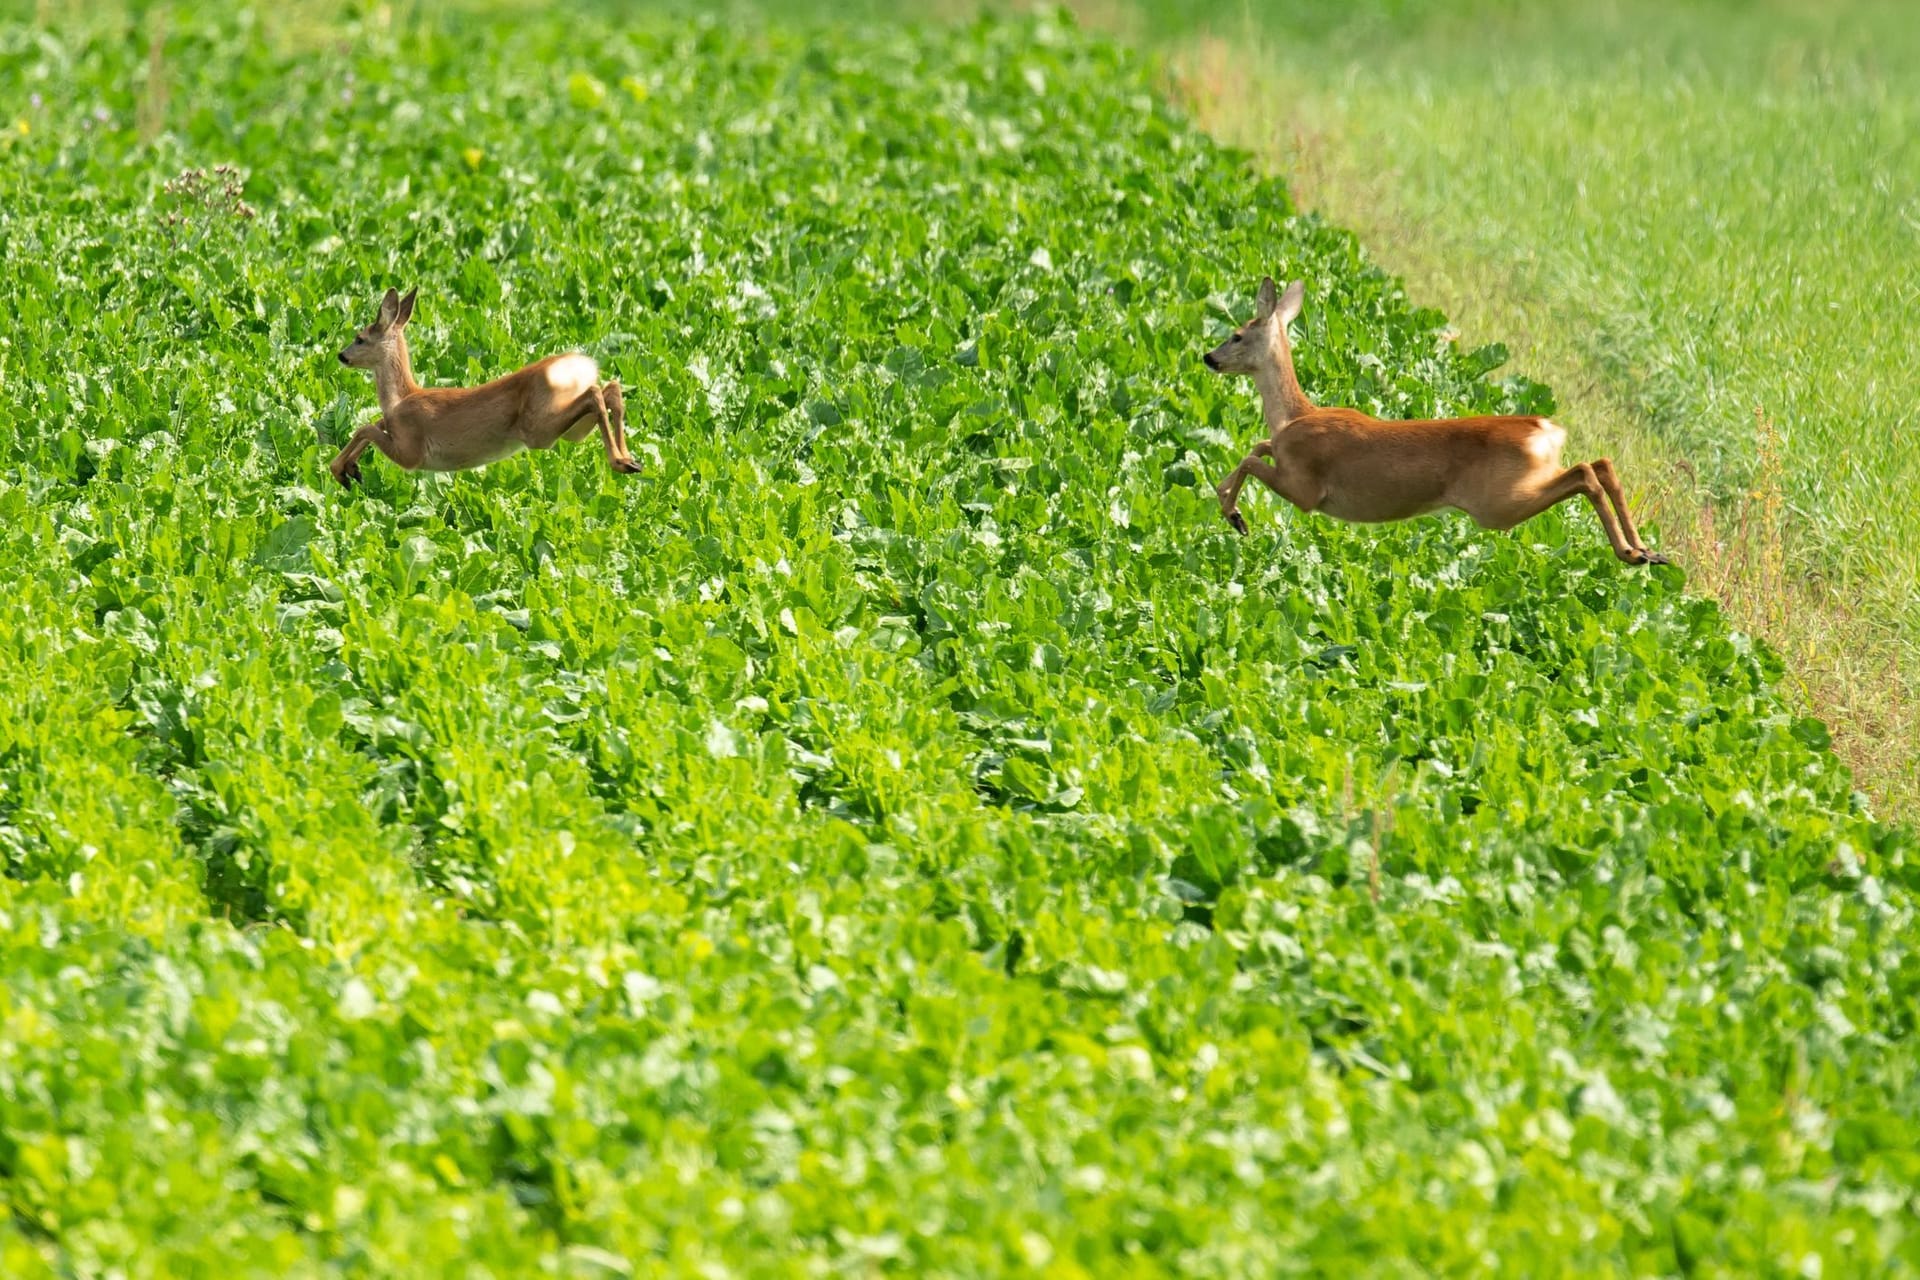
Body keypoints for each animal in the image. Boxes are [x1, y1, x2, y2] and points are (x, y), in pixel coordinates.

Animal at [322, 287, 637, 487]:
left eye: (360, 338)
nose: (341, 355)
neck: (401, 398)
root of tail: (581, 364)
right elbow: (374, 423)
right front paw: (350, 470)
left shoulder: (411, 452)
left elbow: (366, 427)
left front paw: (340, 471)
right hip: (573, 431)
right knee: (610, 389)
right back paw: (630, 460)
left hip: (539, 428)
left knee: (595, 394)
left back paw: (621, 462)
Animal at [1198, 280, 1666, 564]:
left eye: (1237, 334)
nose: (1208, 357)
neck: (1295, 416)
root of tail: (1546, 430)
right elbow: (1258, 447)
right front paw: (1231, 508)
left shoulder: (1306, 488)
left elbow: (1251, 458)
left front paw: (1233, 513)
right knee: (1601, 463)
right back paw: (1646, 551)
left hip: (1498, 502)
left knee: (1586, 472)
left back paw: (1631, 554)